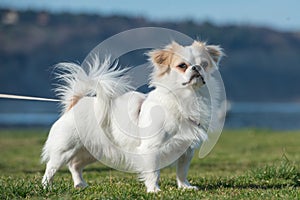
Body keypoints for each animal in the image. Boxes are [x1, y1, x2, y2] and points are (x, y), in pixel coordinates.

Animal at [41, 40, 223, 192]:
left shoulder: (186, 151)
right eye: (182, 65)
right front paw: (154, 190)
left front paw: (185, 187)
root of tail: (75, 103)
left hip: (92, 152)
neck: (187, 99)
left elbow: (182, 172)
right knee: (52, 166)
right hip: (65, 149)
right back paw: (46, 186)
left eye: (204, 64)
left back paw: (80, 184)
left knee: (74, 166)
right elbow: (153, 172)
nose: (197, 68)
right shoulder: (151, 149)